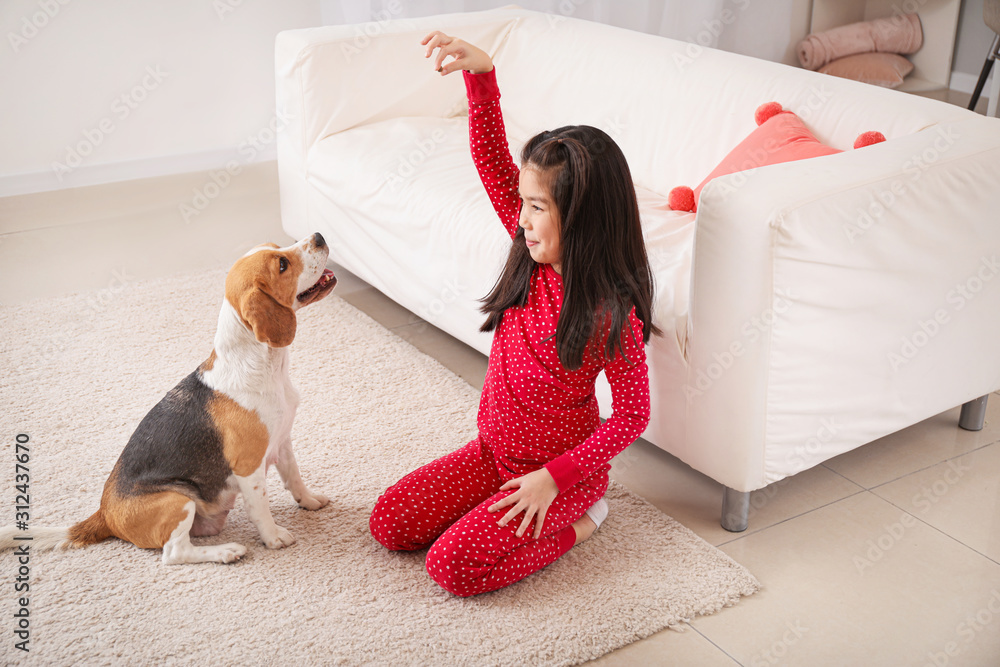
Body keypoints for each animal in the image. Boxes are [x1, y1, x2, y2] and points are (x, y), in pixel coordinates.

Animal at [0, 234, 336, 564]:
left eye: (278, 247)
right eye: (282, 264)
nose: (319, 236)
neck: (265, 365)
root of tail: (104, 514)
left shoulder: (282, 440)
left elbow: (294, 477)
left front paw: (308, 500)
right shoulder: (248, 465)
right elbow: (260, 507)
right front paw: (274, 536)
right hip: (178, 500)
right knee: (174, 553)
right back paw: (226, 551)